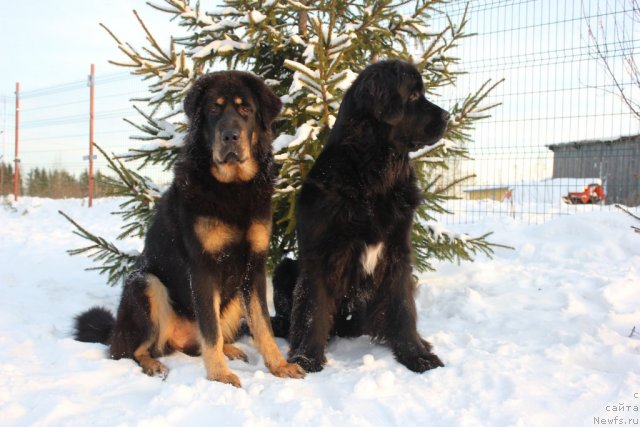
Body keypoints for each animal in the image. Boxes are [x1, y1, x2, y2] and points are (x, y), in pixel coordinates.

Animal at [74, 71, 304, 388]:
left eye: (245, 109)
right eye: (214, 110)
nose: (230, 136)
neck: (232, 188)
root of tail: (114, 330)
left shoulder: (254, 267)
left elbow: (262, 325)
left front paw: (279, 366)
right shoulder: (203, 267)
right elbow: (211, 330)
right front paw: (219, 376)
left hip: (232, 296)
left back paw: (230, 350)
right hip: (145, 283)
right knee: (131, 350)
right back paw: (153, 365)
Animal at [272, 60, 448, 374]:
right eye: (414, 96)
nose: (449, 117)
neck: (374, 177)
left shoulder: (397, 252)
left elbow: (403, 307)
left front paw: (416, 354)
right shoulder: (320, 254)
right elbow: (313, 309)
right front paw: (307, 358)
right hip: (284, 268)